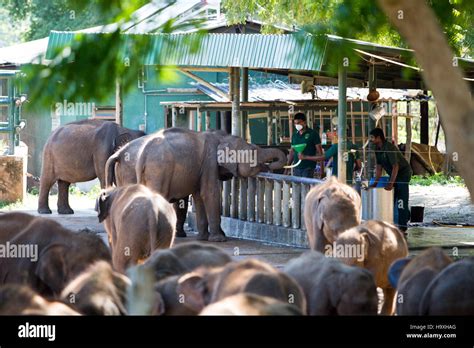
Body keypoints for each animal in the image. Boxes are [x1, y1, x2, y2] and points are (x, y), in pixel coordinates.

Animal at [106, 128, 286, 242]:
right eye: (253, 152)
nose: (269, 167)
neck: (222, 137)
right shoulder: (209, 163)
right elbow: (210, 193)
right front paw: (220, 240)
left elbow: (199, 196)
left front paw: (203, 238)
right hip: (157, 170)